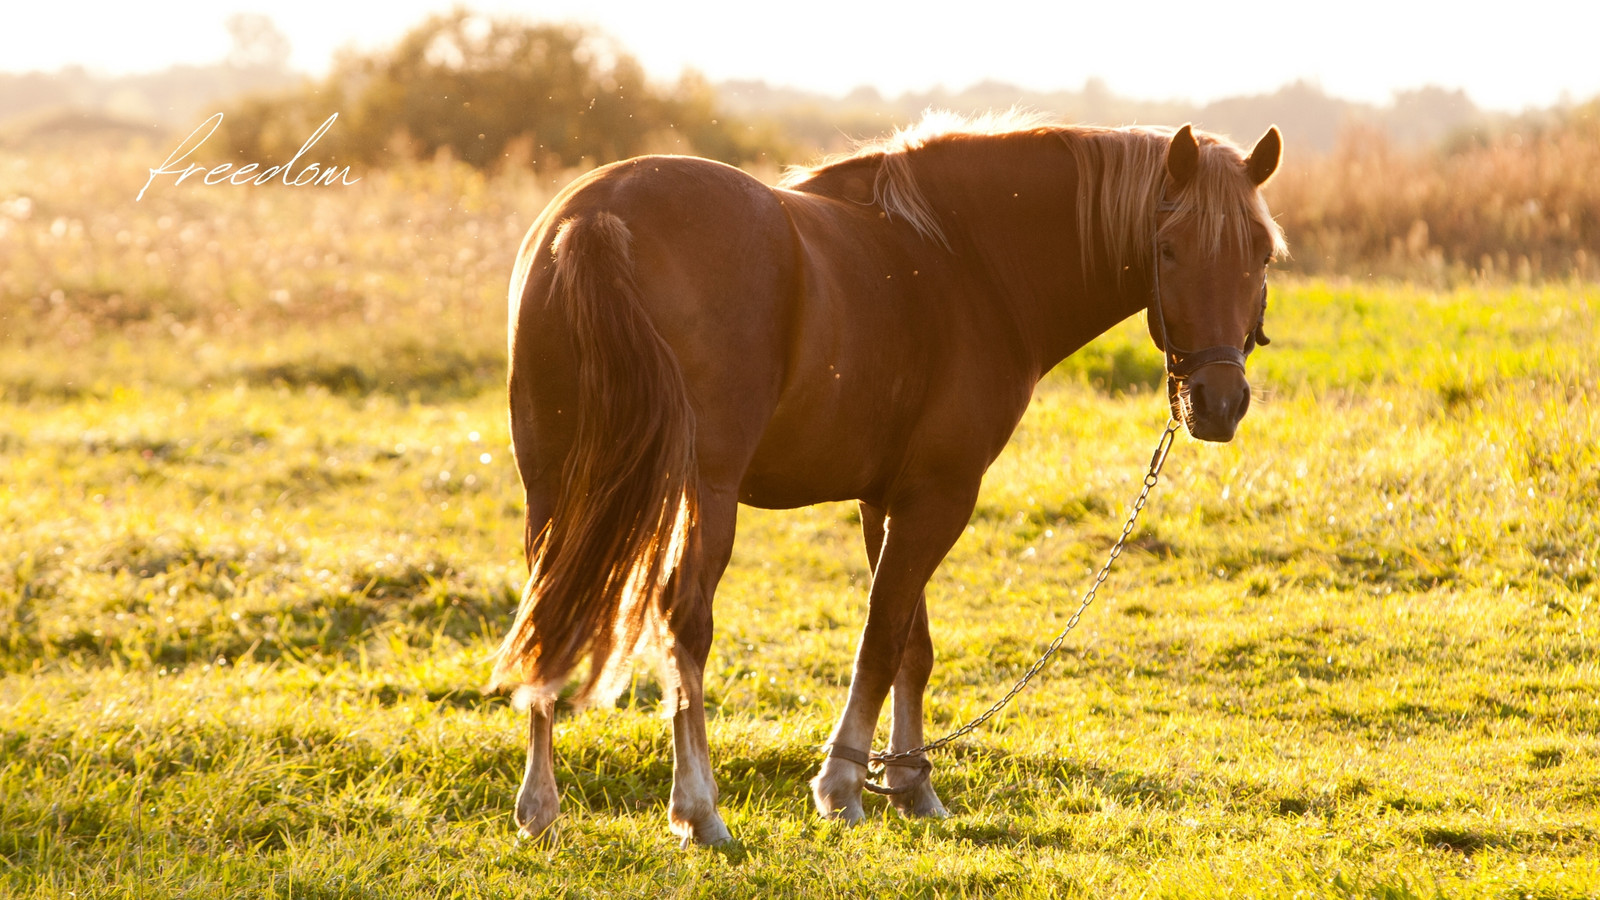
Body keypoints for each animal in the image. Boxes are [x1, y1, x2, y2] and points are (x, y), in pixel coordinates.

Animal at [486, 112, 1286, 839]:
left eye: (1261, 252)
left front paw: (909, 784)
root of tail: (596, 219)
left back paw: (540, 808)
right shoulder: (941, 495)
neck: (967, 262)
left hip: (552, 485)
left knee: (548, 611)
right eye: (1169, 249)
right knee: (685, 623)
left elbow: (911, 646)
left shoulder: (887, 499)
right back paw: (698, 809)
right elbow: (881, 635)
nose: (1218, 403)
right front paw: (844, 785)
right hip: (702, 491)